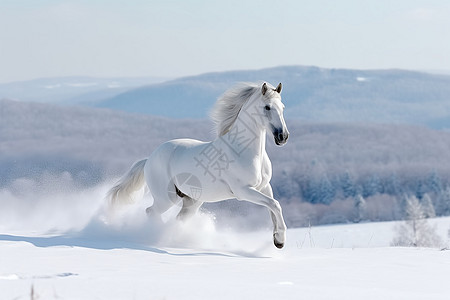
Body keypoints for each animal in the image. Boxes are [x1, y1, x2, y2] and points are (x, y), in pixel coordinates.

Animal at [108, 81, 288, 247]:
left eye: (282, 107)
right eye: (267, 107)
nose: (283, 136)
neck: (244, 151)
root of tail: (148, 160)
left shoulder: (264, 187)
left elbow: (273, 207)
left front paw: (277, 240)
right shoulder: (243, 191)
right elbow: (275, 204)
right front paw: (280, 240)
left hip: (191, 201)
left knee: (178, 218)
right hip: (166, 198)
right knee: (150, 211)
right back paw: (158, 236)